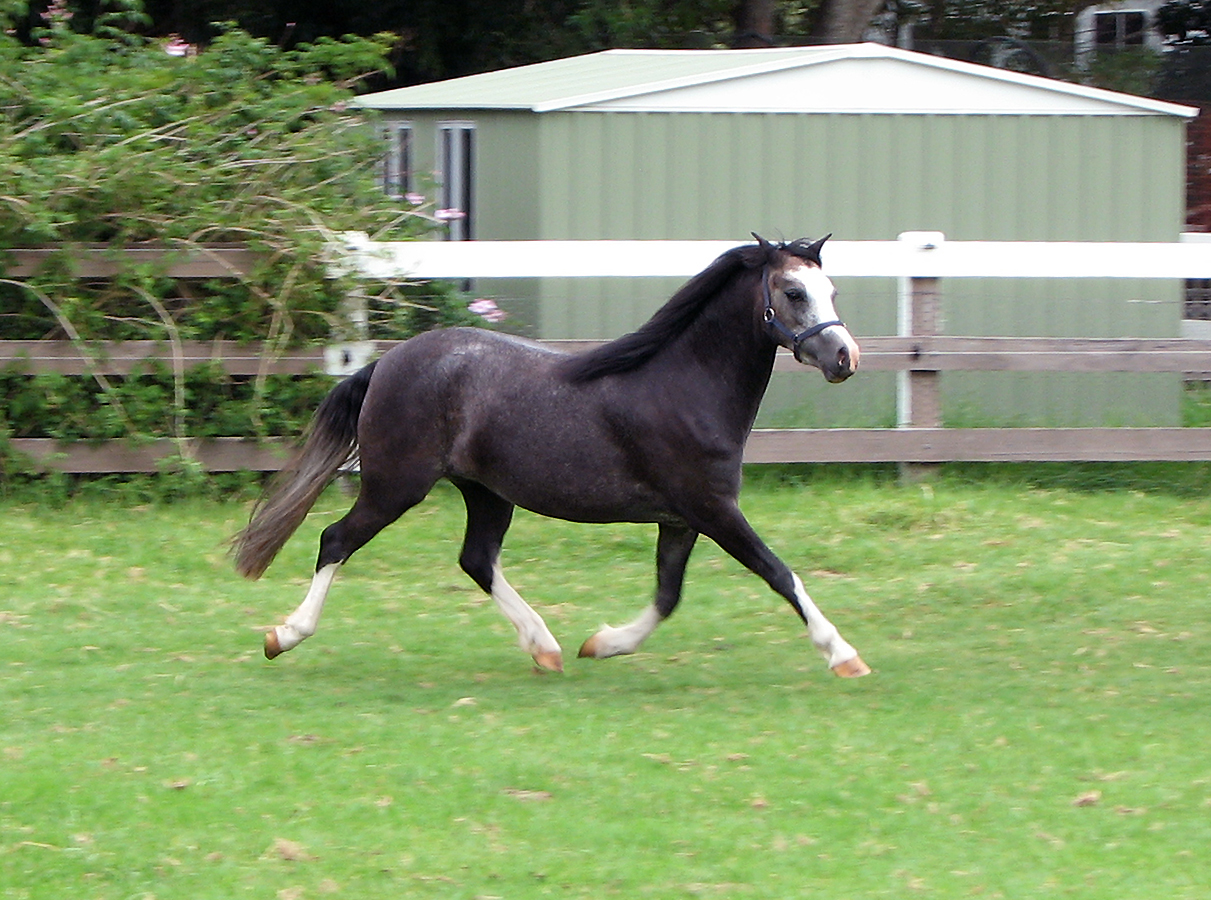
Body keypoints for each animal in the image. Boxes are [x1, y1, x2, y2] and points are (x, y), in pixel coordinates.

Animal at [232, 234, 870, 678]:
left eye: (833, 293)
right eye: (793, 292)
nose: (846, 357)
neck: (683, 387)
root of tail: (386, 362)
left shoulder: (682, 519)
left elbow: (668, 595)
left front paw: (603, 643)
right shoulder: (713, 510)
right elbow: (778, 572)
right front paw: (843, 654)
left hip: (486, 493)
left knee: (477, 559)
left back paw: (546, 647)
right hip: (395, 486)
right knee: (335, 540)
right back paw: (283, 635)